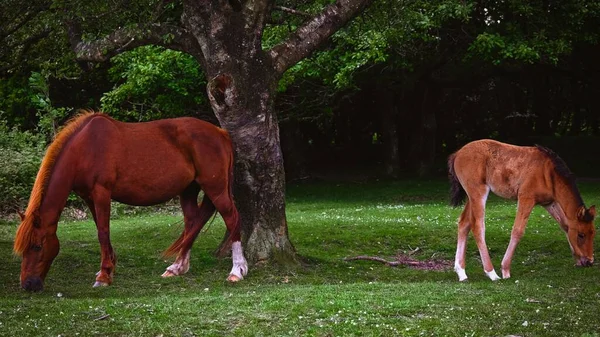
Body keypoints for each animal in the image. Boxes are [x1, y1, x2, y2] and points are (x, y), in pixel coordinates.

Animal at [14, 111, 248, 290]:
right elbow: (101, 229)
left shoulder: (101, 193)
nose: (28, 284)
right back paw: (176, 267)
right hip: (189, 190)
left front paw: (103, 276)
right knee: (193, 222)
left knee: (232, 218)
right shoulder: (89, 197)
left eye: (37, 246)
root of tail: (221, 133)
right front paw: (108, 268)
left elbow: (103, 232)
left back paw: (237, 270)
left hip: (215, 188)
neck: (85, 148)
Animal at [448, 138, 592, 280]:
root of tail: (457, 154)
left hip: (471, 197)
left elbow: (565, 225)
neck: (549, 173)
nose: (589, 261)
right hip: (478, 192)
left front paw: (578, 259)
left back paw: (461, 272)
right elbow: (517, 231)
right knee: (478, 226)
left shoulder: (549, 203)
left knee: (464, 223)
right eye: (581, 235)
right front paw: (505, 269)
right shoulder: (526, 198)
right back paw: (492, 273)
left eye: (593, 232)